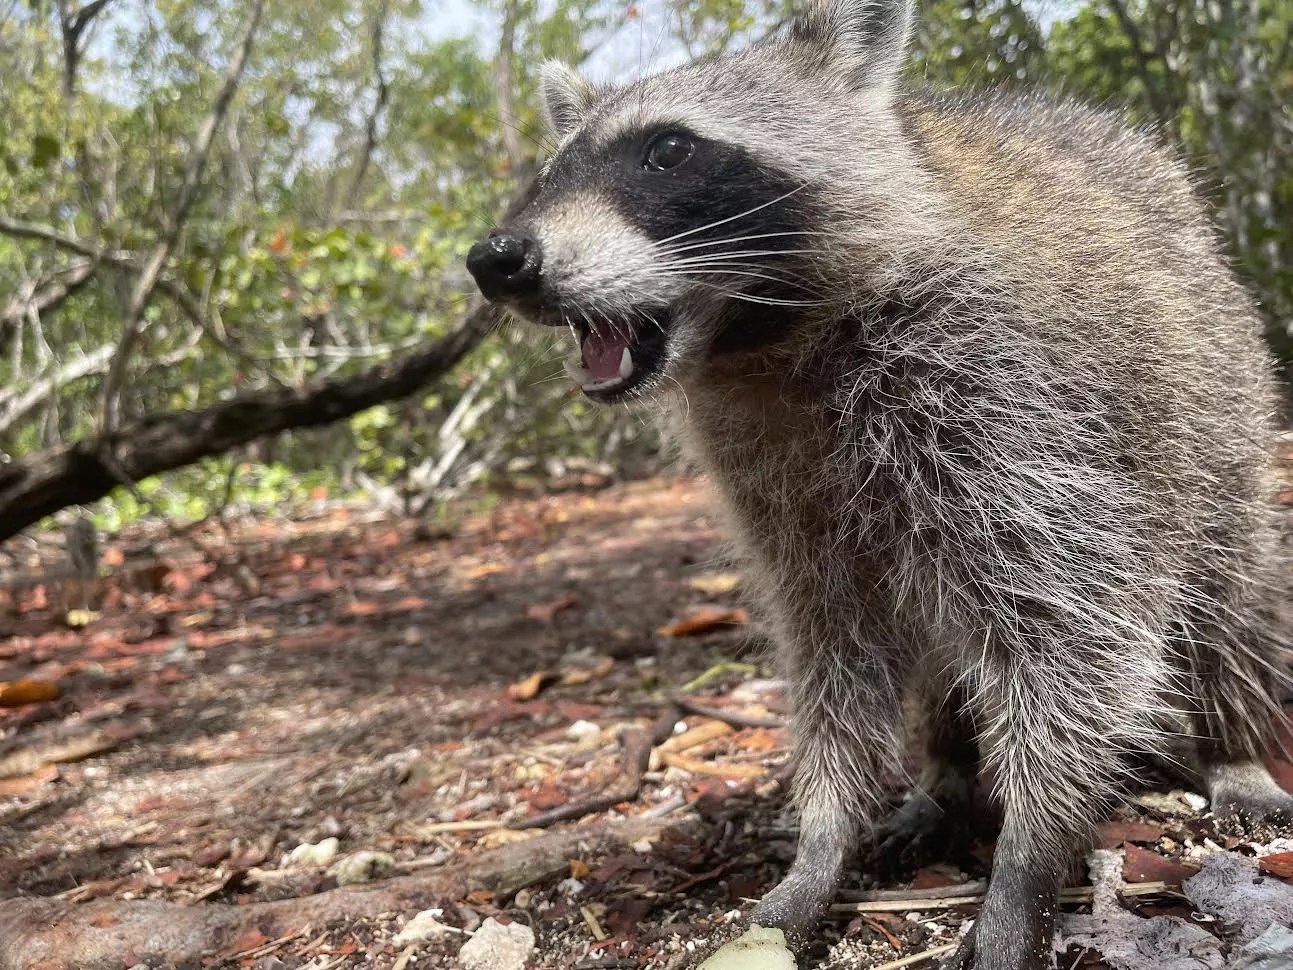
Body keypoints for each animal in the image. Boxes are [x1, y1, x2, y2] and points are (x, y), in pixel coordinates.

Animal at [465, 1, 1293, 966]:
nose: (496, 258)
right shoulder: (778, 482)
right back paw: (945, 773)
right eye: (551, 172)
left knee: (1226, 594)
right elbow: (831, 651)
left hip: (1220, 416)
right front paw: (826, 834)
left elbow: (1072, 636)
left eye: (667, 151)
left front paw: (1027, 855)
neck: (763, 342)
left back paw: (1231, 739)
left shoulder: (1019, 404)